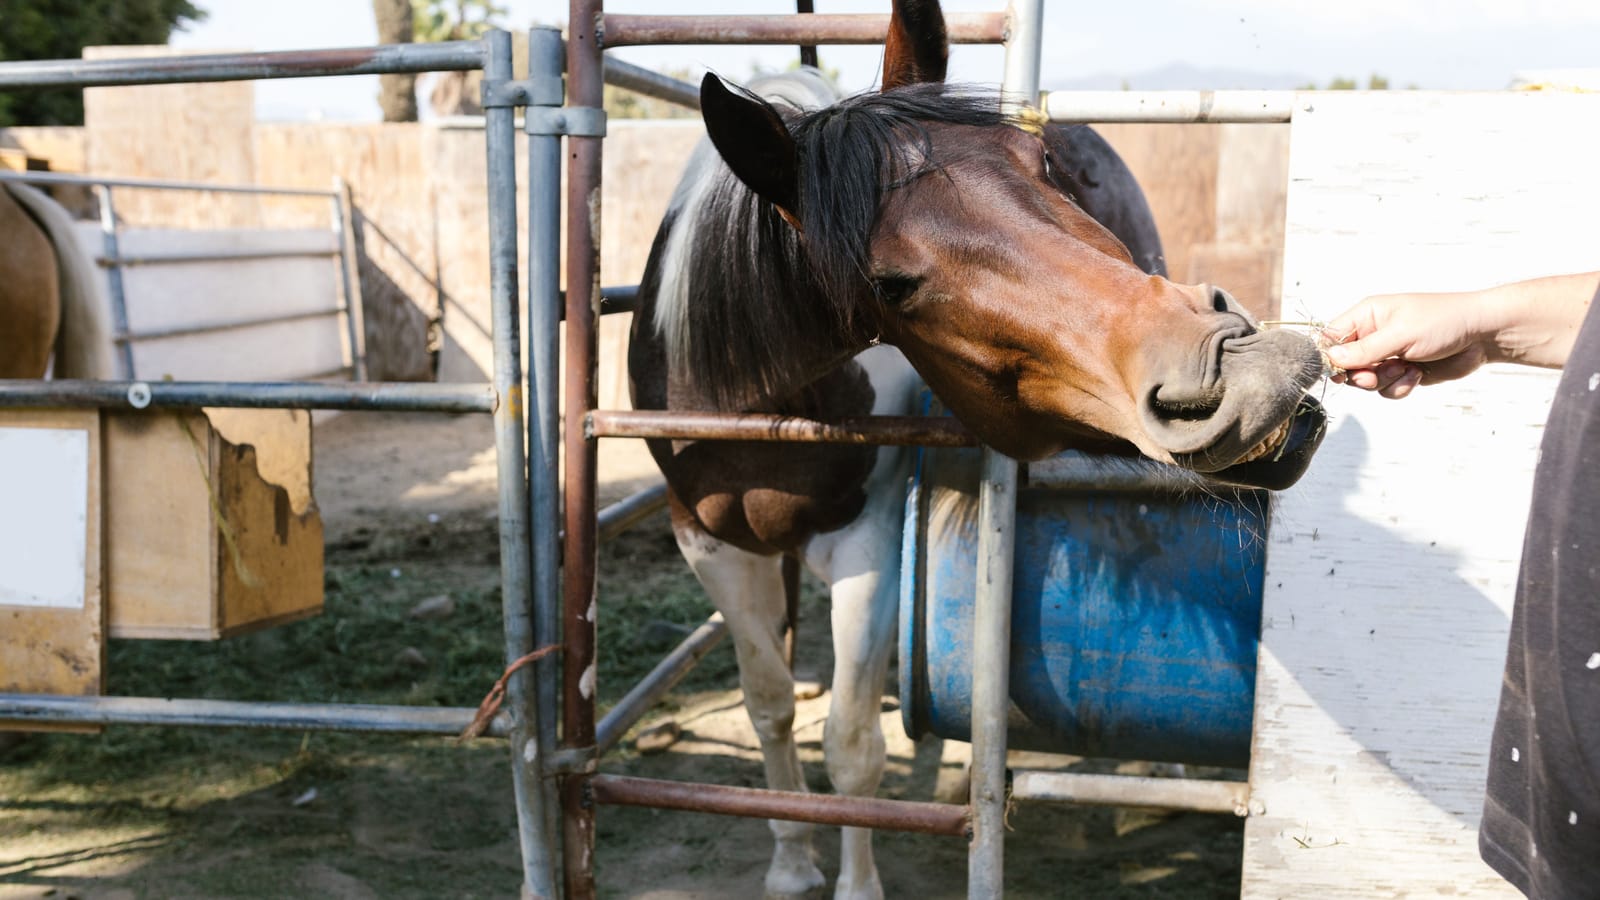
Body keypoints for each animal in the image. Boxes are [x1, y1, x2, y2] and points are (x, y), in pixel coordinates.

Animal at [626, 2, 1327, 896]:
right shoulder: (709, 543)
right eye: (889, 285)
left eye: (1044, 166)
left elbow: (852, 743)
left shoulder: (869, 543)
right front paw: (789, 858)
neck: (760, 402)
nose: (1241, 367)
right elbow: (771, 705)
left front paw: (856, 880)